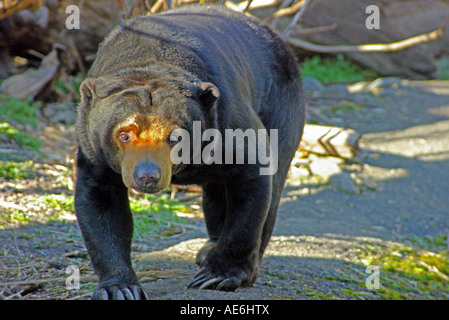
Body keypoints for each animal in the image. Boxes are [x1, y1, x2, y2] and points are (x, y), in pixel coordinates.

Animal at [74, 4, 304, 300]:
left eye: (175, 136)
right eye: (124, 134)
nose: (147, 176)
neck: (151, 63)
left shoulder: (227, 121)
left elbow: (253, 178)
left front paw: (218, 276)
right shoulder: (93, 147)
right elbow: (101, 202)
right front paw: (121, 289)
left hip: (282, 105)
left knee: (273, 186)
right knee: (217, 193)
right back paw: (208, 248)